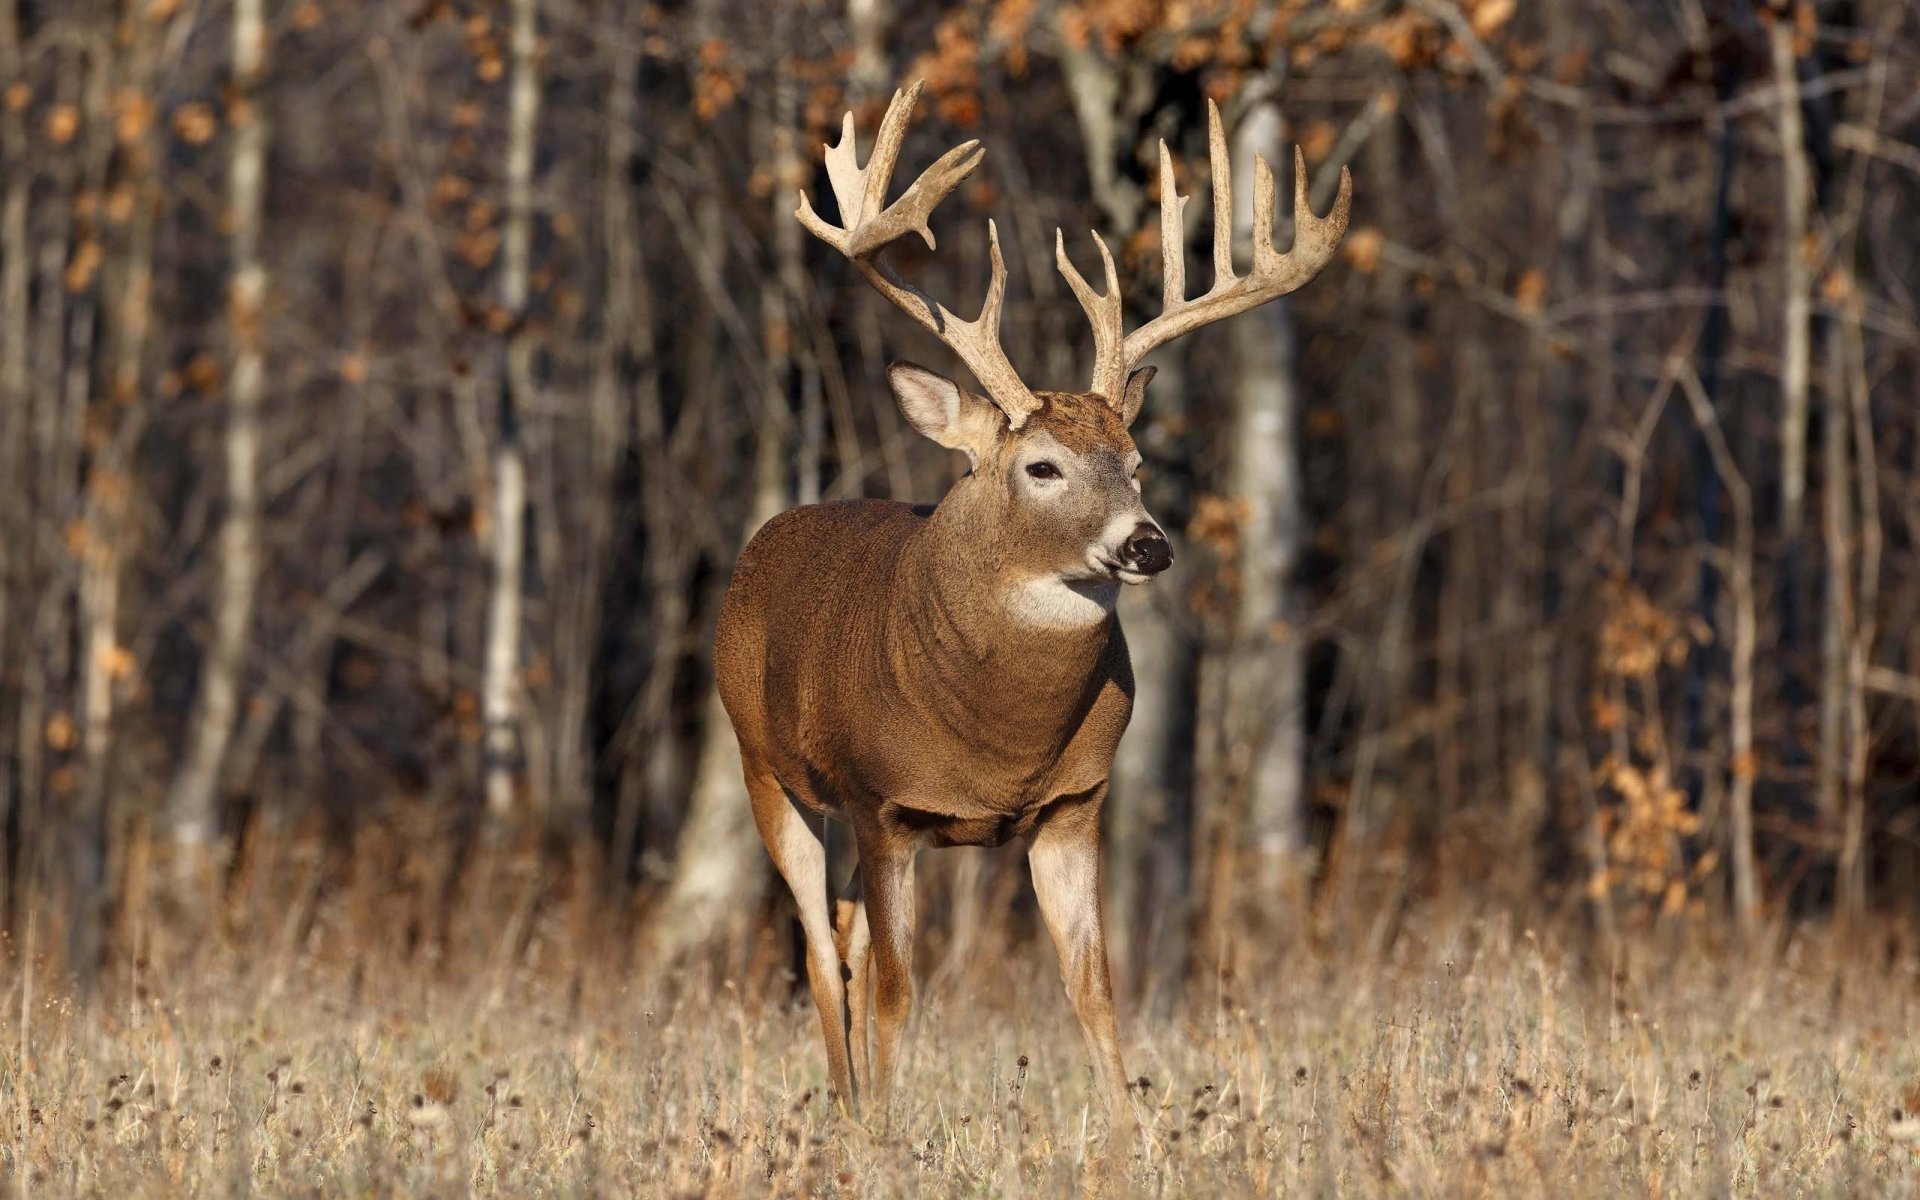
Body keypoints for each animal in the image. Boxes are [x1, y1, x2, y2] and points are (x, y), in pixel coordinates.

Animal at [713, 80, 1350, 1129]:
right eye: (1041, 466)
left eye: (1135, 460)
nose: (1147, 544)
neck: (998, 741)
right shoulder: (883, 801)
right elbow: (900, 989)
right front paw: (887, 1134)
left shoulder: (1074, 803)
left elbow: (1092, 986)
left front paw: (1133, 1139)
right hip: (767, 768)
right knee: (817, 946)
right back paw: (849, 1111)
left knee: (842, 935)